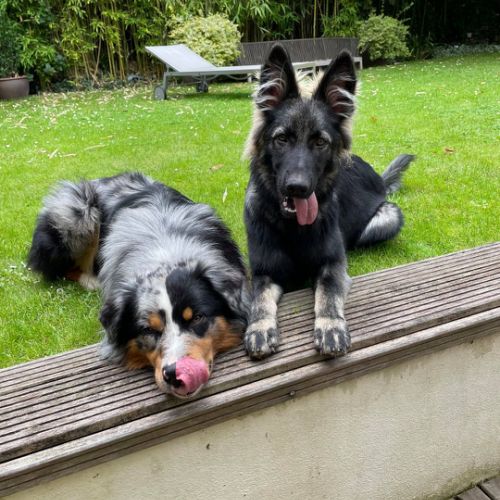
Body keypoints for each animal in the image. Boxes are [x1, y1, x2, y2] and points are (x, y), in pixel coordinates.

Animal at [28, 172, 250, 398]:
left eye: (197, 318)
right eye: (148, 330)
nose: (174, 374)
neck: (165, 252)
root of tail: (100, 179)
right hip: (76, 213)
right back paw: (91, 280)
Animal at [243, 44, 415, 359]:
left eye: (320, 142)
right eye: (281, 139)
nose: (297, 188)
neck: (293, 228)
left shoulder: (332, 265)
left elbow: (327, 292)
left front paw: (331, 326)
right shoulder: (263, 272)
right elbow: (259, 299)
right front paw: (259, 327)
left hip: (389, 218)